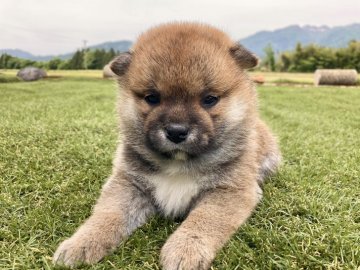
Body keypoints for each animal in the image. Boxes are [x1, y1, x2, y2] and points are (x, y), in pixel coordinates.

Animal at [53, 22, 282, 270]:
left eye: (209, 99)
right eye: (152, 98)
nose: (176, 131)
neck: (178, 164)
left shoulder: (230, 191)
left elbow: (204, 220)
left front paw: (186, 250)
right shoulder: (128, 183)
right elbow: (108, 214)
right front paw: (82, 243)